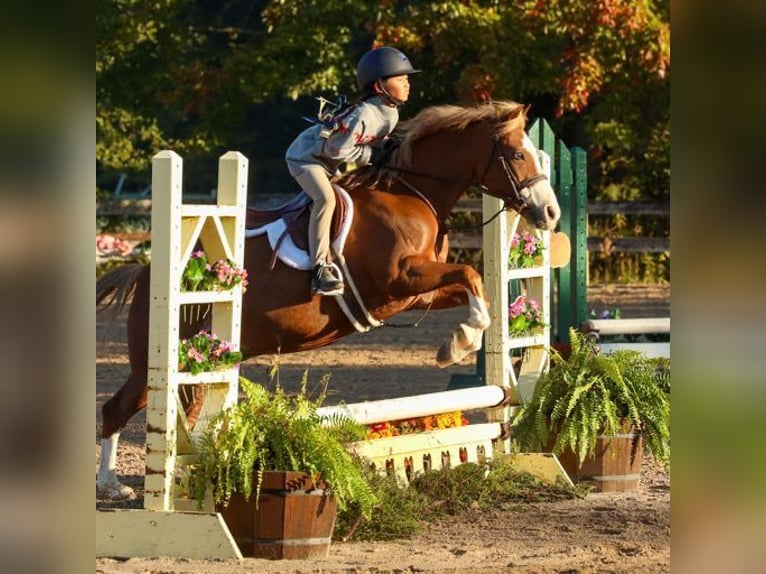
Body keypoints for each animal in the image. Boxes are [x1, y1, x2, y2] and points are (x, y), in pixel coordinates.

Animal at [99, 102, 560, 500]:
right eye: (518, 154)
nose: (551, 214)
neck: (412, 192)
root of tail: (146, 270)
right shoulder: (399, 279)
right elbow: (470, 275)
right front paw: (460, 343)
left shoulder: (415, 293)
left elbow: (473, 284)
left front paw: (461, 340)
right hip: (161, 360)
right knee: (116, 409)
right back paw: (113, 486)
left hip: (200, 365)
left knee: (183, 416)